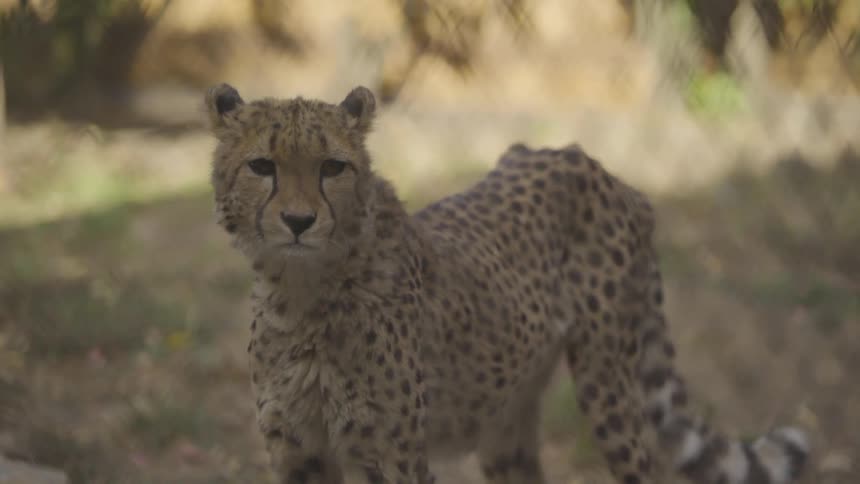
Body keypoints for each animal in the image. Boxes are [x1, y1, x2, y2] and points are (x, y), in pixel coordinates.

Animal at [203, 83, 809, 484]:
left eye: (332, 167)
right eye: (262, 166)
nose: (299, 221)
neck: (302, 295)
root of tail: (584, 159)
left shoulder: (391, 453)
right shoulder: (297, 452)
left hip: (606, 385)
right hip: (506, 415)